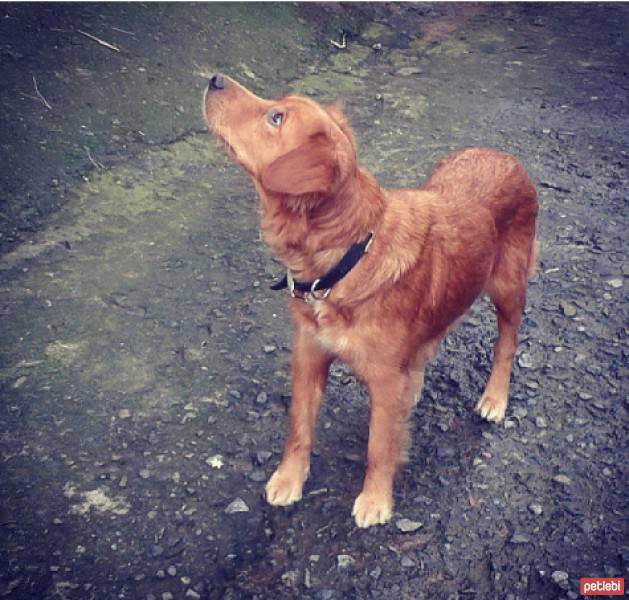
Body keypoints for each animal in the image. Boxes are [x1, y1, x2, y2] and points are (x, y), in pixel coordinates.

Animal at [204, 72, 536, 528]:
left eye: (276, 117)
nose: (214, 79)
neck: (347, 255)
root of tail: (501, 155)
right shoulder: (308, 354)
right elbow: (298, 428)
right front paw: (289, 479)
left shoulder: (382, 378)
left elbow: (379, 446)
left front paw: (376, 499)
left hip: (507, 286)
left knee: (507, 341)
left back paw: (495, 398)